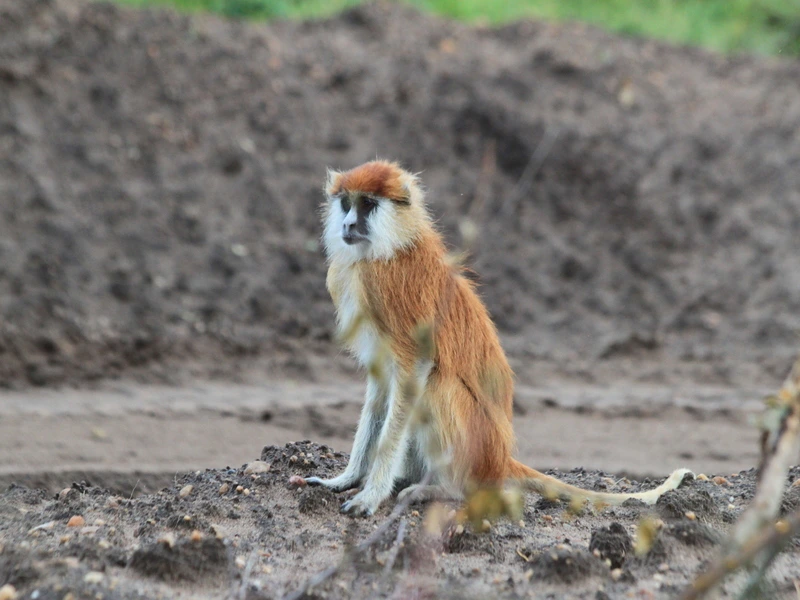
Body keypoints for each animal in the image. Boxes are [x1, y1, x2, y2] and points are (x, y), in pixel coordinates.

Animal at [305, 159, 692, 516]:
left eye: (368, 204)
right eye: (346, 202)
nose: (347, 224)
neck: (394, 244)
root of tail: (501, 460)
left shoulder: (384, 289)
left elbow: (417, 368)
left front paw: (370, 495)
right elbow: (381, 385)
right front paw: (347, 478)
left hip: (478, 448)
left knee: (438, 385)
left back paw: (445, 490)